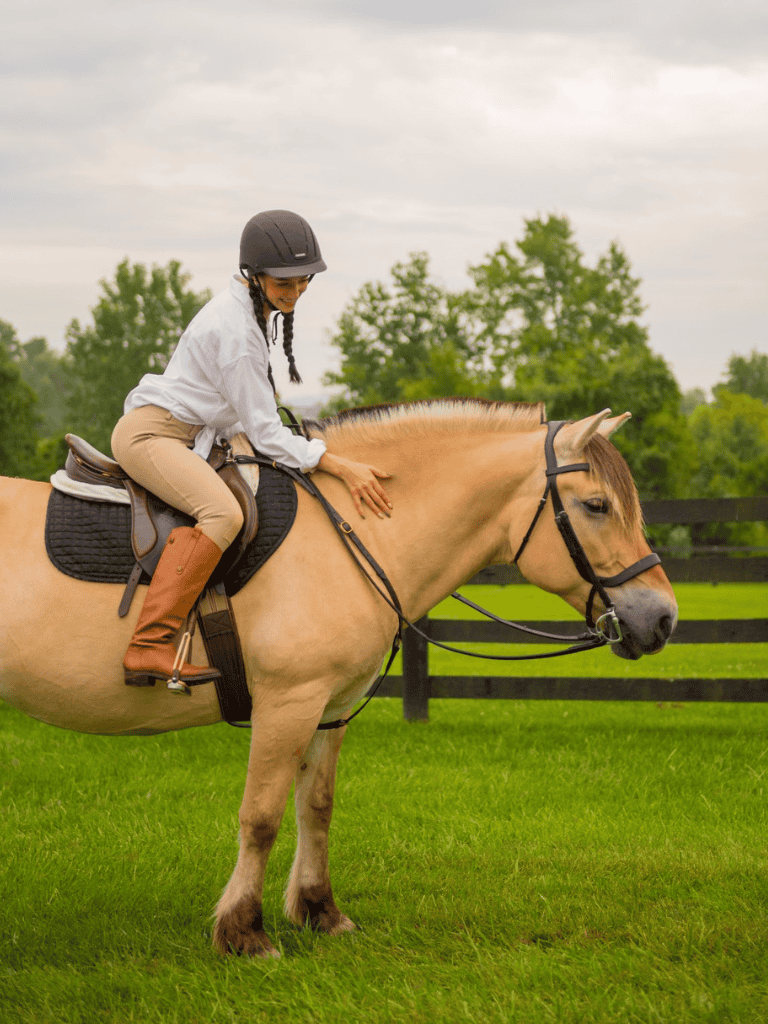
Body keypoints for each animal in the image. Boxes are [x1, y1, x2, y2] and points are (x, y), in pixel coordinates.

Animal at [0, 400, 677, 957]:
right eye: (596, 506)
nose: (663, 617)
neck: (347, 533)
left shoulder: (330, 708)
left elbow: (316, 807)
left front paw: (319, 912)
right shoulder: (288, 704)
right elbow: (262, 816)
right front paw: (244, 933)